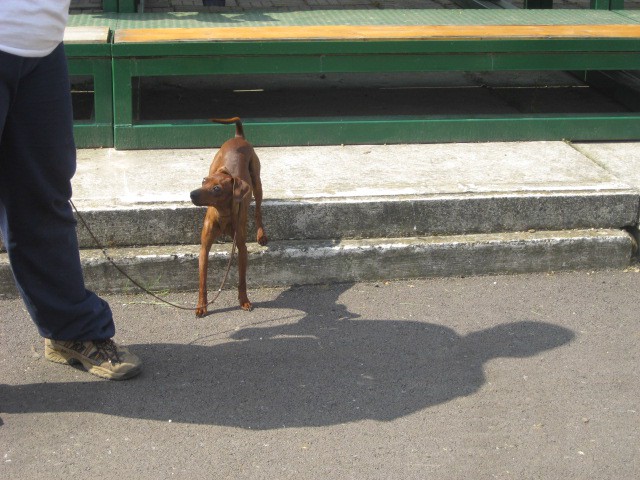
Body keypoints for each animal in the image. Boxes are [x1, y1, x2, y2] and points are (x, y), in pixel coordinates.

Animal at [192, 118, 268, 316]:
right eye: (203, 181)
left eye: (217, 188)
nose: (191, 194)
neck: (223, 214)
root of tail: (238, 137)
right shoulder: (204, 248)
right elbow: (202, 282)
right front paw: (201, 306)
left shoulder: (241, 248)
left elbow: (242, 280)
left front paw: (244, 301)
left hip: (257, 183)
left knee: (258, 210)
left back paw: (261, 235)